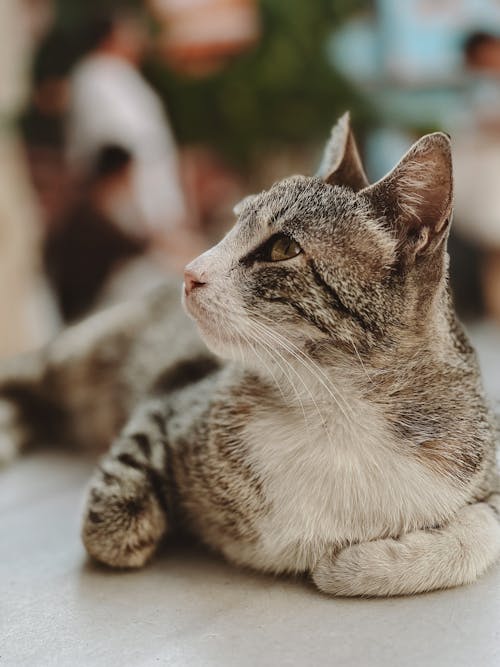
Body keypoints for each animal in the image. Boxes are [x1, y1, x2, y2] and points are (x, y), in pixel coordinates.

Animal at [0, 112, 500, 596]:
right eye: (233, 222)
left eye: (283, 247)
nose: (189, 271)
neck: (333, 408)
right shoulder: (175, 392)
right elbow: (112, 528)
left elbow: (481, 532)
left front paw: (355, 564)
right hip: (83, 351)